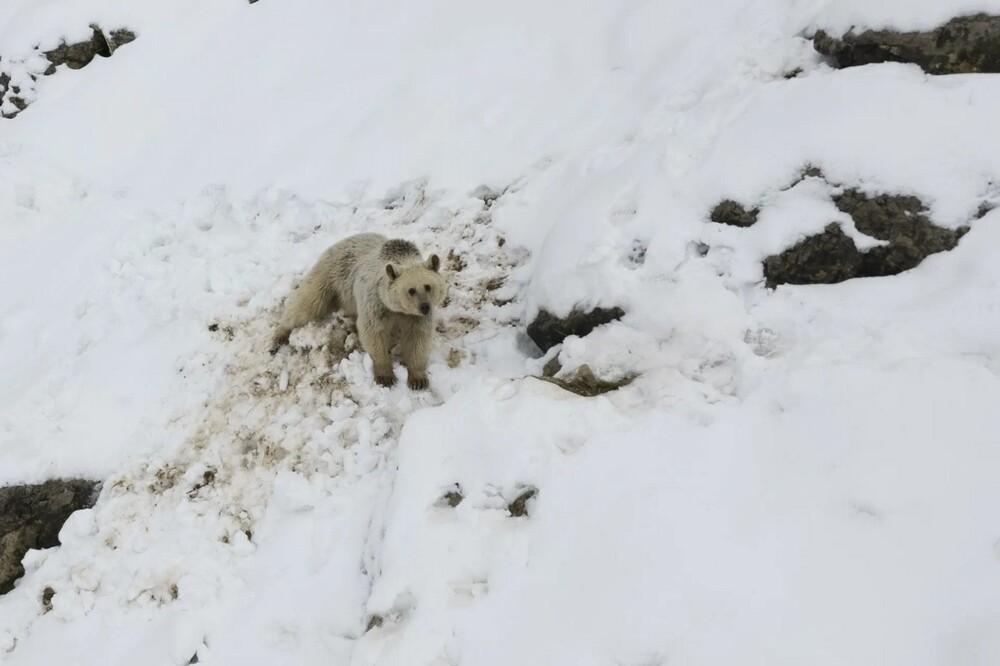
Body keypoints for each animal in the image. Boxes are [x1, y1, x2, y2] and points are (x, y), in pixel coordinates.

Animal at [272, 233, 448, 390]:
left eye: (428, 286)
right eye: (411, 290)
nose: (425, 307)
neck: (397, 309)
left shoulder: (415, 318)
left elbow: (418, 339)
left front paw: (418, 379)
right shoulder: (375, 304)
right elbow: (373, 334)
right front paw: (385, 375)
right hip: (331, 276)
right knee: (307, 303)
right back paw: (279, 336)